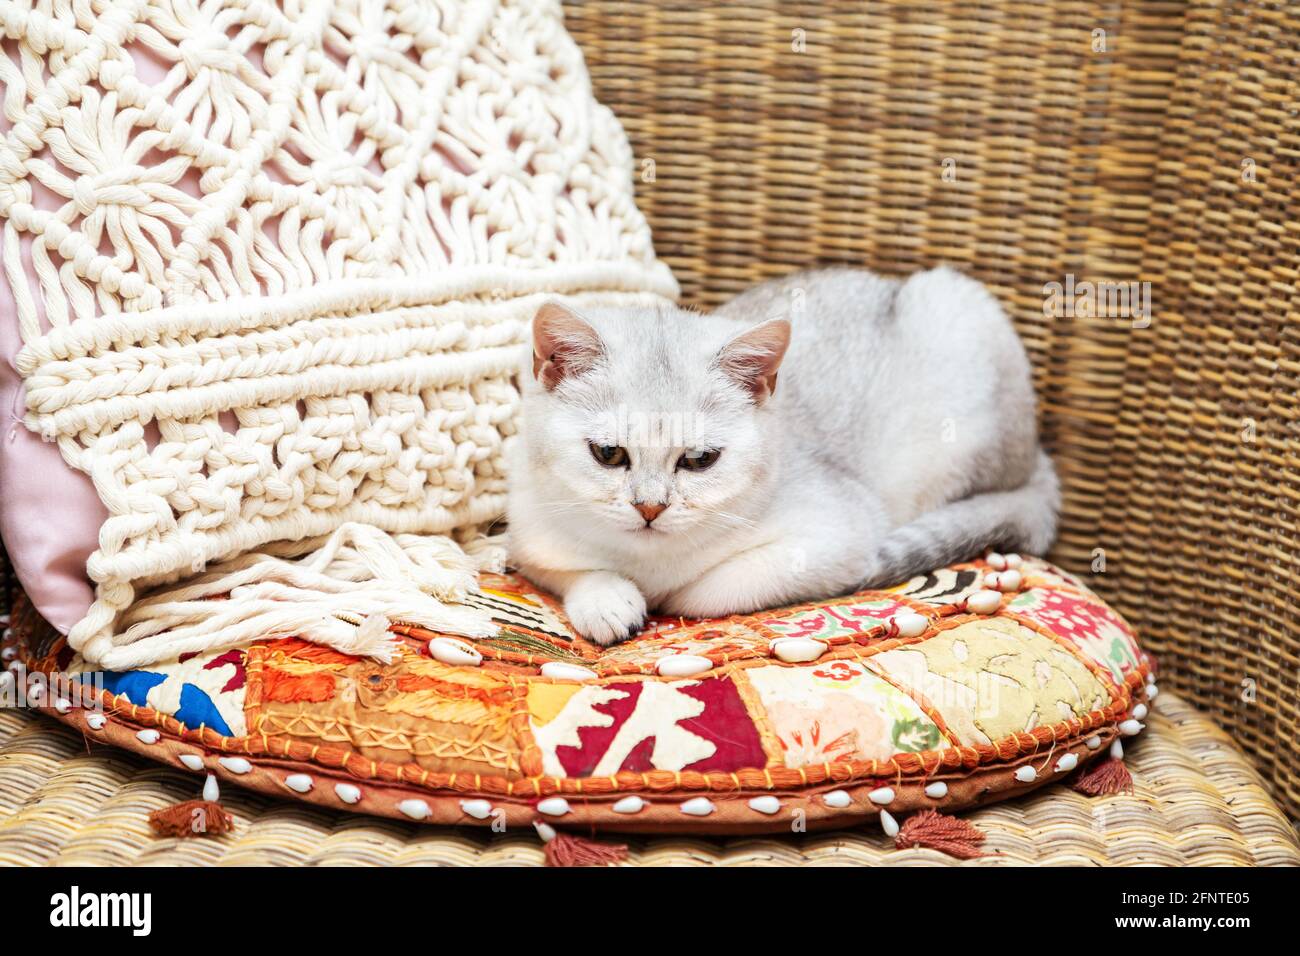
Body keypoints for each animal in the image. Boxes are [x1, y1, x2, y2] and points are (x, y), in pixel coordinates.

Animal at [504, 265, 1055, 647]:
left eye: (699, 459)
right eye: (609, 453)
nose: (650, 507)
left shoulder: (837, 533)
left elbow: (708, 590)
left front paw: (664, 596)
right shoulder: (529, 532)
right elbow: (564, 568)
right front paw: (606, 598)